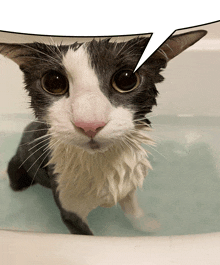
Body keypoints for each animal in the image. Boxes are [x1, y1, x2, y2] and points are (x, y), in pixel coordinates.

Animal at [0, 29, 206, 234]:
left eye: (126, 80)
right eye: (53, 83)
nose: (90, 124)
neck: (101, 163)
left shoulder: (127, 183)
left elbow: (132, 209)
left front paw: (145, 224)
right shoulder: (69, 208)